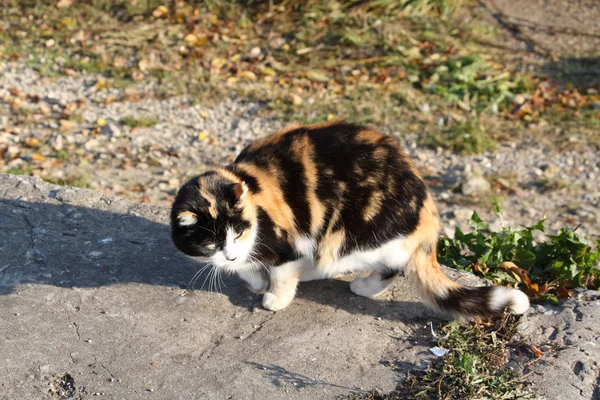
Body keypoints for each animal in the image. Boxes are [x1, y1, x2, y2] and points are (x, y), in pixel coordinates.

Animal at [170, 122, 528, 318]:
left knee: (390, 265)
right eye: (212, 243)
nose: (230, 254)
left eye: (238, 232)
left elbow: (281, 272)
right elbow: (248, 268)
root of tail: (427, 209)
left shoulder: (284, 241)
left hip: (348, 237)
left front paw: (273, 297)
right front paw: (254, 278)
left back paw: (358, 284)